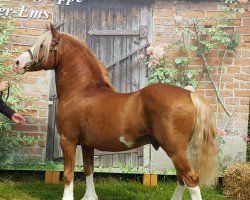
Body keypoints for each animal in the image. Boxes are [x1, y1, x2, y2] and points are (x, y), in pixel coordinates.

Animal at [13, 24, 217, 200]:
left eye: (42, 45)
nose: (17, 62)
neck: (81, 91)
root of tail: (189, 93)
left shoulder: (68, 140)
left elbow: (69, 173)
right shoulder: (87, 144)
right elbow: (88, 169)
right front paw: (90, 197)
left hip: (175, 149)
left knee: (190, 178)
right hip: (177, 150)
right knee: (182, 178)